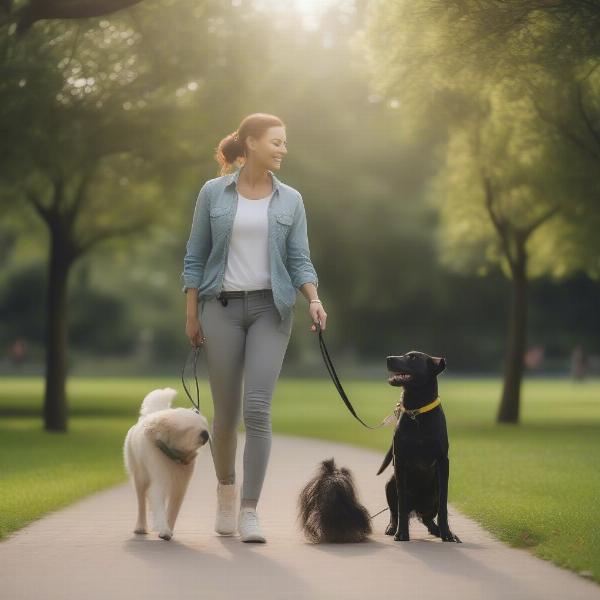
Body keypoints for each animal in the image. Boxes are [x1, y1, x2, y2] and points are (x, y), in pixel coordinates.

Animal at [122, 386, 211, 540]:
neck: (174, 457)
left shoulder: (180, 486)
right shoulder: (160, 481)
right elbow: (158, 503)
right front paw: (164, 529)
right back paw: (140, 527)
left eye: (203, 424)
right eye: (187, 429)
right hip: (140, 476)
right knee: (141, 501)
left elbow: (174, 508)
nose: (205, 434)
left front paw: (168, 529)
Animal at [378, 352, 462, 544]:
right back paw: (392, 527)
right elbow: (400, 505)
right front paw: (402, 533)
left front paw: (447, 533)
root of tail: (416, 508)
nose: (388, 358)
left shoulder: (443, 461)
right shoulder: (400, 460)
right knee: (396, 512)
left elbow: (444, 506)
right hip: (389, 484)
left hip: (434, 490)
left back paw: (440, 531)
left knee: (428, 518)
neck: (417, 412)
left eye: (413, 358)